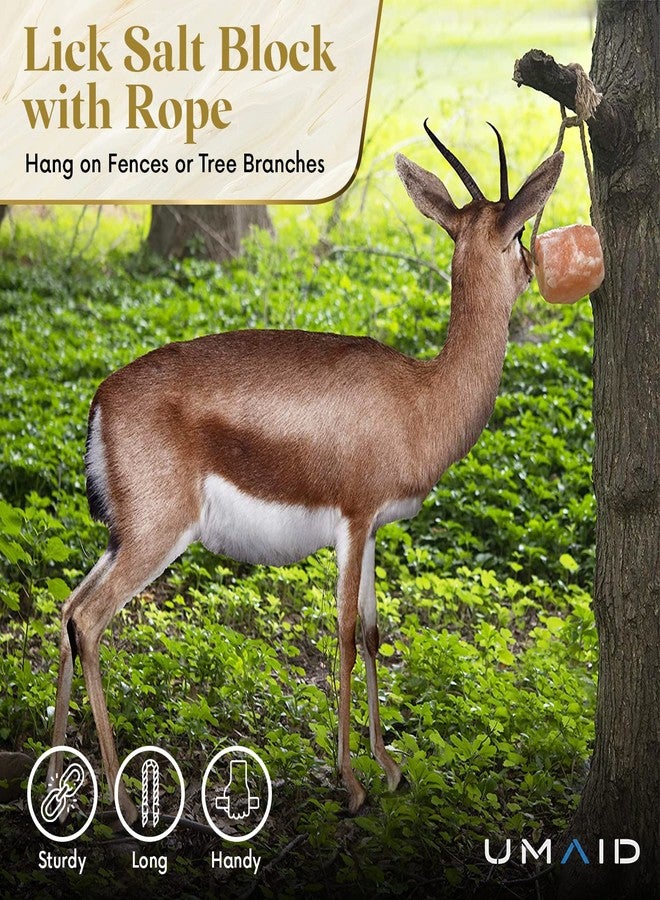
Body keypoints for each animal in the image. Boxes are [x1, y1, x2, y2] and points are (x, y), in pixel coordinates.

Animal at [47, 121, 563, 821]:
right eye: (516, 234)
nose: (535, 270)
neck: (421, 397)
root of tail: (101, 398)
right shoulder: (353, 518)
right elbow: (342, 634)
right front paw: (351, 783)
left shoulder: (373, 530)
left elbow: (372, 633)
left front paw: (389, 768)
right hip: (156, 538)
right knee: (90, 620)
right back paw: (121, 792)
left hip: (118, 537)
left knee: (67, 609)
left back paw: (53, 780)